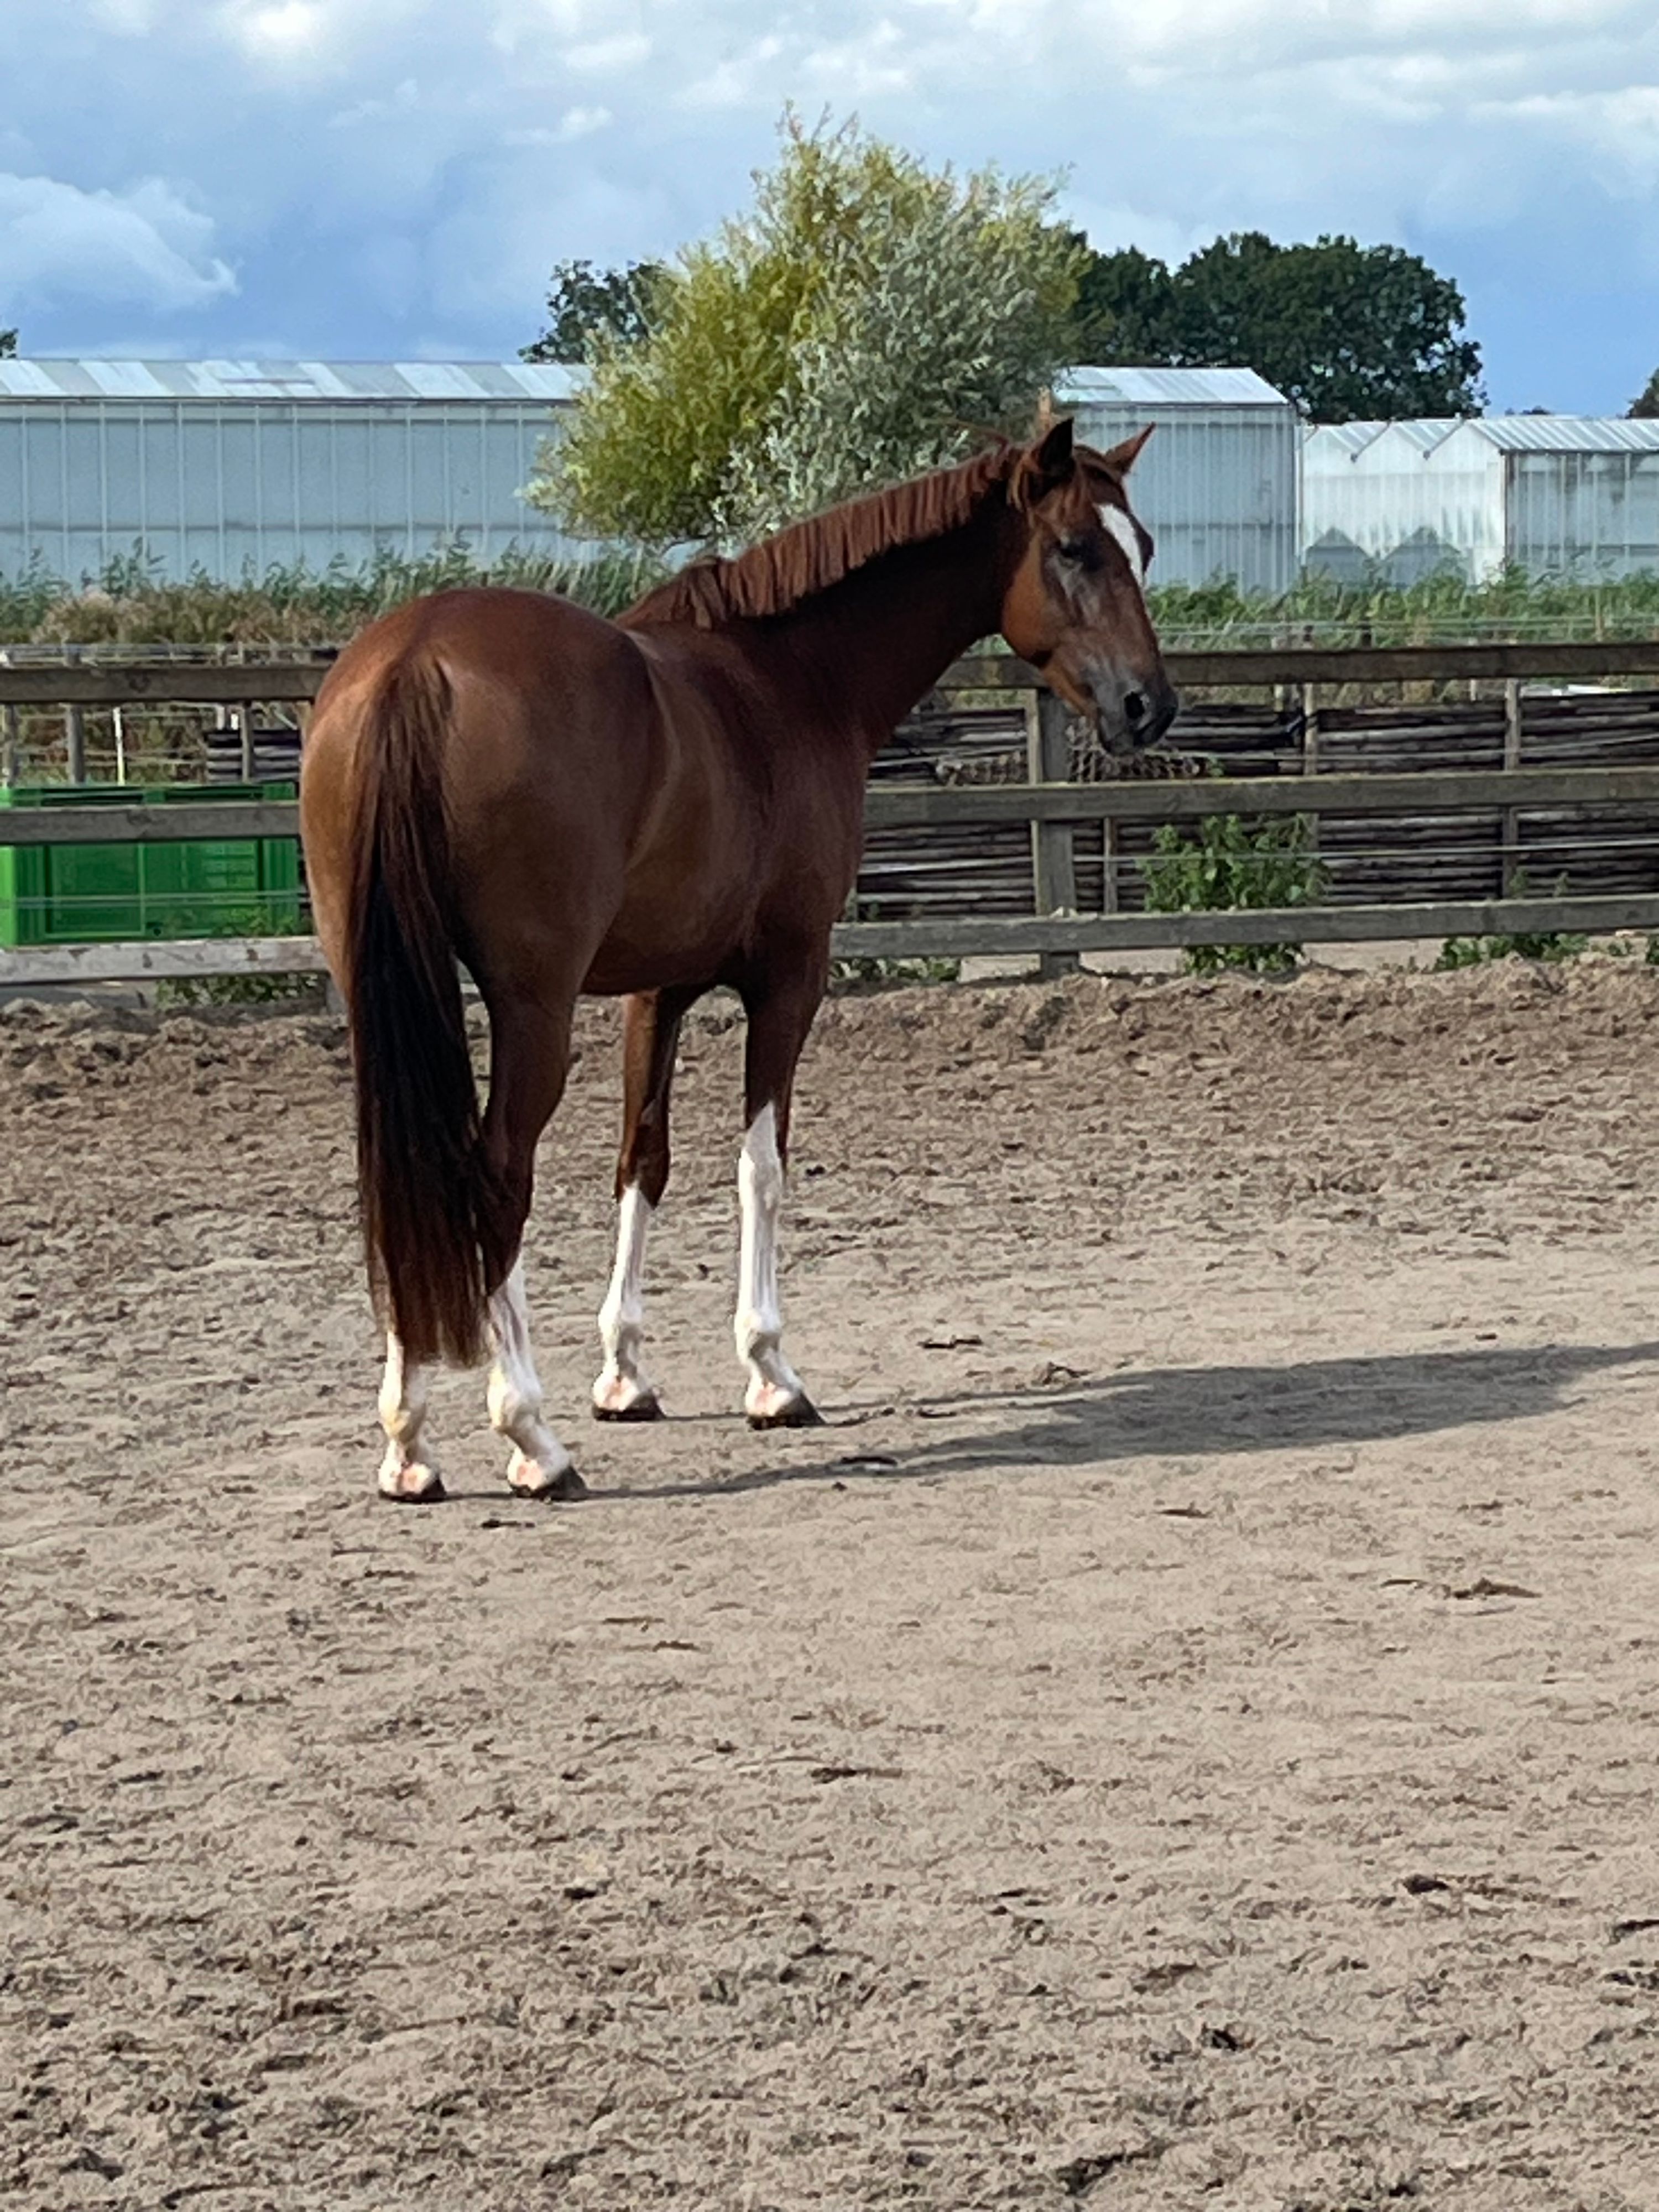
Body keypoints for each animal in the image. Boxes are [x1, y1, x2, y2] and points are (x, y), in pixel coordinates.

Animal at [298, 416, 1176, 1502]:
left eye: (1142, 547)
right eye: (1075, 549)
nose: (1149, 707)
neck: (787, 681)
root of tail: (414, 662)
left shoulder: (655, 990)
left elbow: (642, 1161)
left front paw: (624, 1375)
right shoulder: (790, 976)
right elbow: (763, 1165)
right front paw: (770, 1373)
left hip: (384, 998)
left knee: (400, 1180)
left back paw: (409, 1442)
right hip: (532, 1005)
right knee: (494, 1176)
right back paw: (531, 1437)